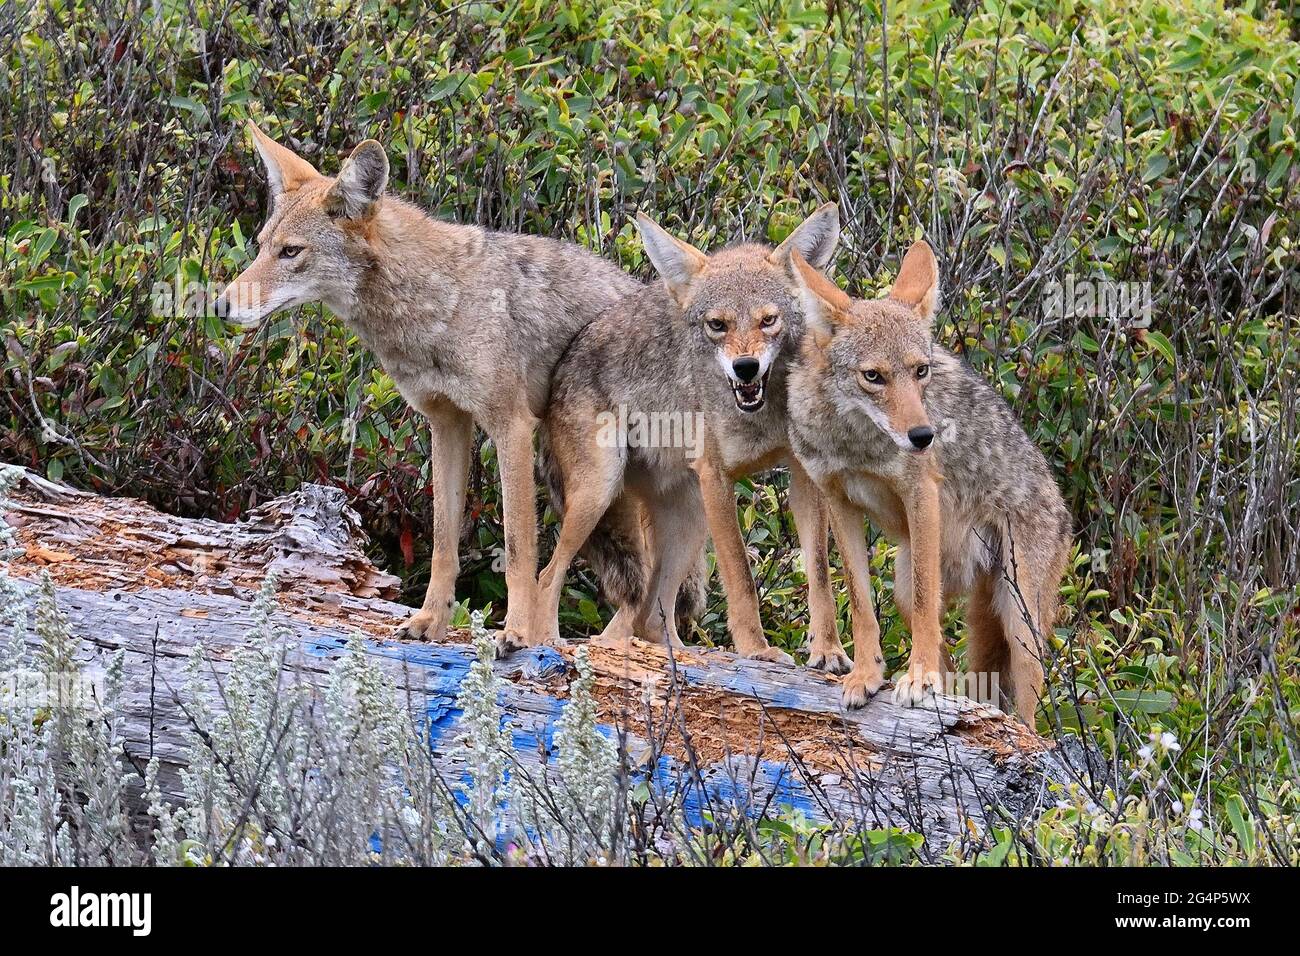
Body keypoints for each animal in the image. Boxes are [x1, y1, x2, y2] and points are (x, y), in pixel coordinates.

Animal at [215, 123, 647, 650]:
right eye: (260, 245)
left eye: (291, 252)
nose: (219, 306)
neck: (437, 302)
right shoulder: (447, 425)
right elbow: (443, 540)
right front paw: (430, 621)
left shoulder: (511, 427)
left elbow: (518, 549)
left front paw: (514, 632)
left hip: (594, 485)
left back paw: (583, 643)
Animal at [532, 206, 851, 672]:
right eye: (717, 325)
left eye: (768, 320)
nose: (745, 367)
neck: (764, 412)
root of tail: (558, 373)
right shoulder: (717, 477)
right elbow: (740, 578)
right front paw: (756, 650)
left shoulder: (804, 475)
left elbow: (821, 574)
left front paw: (829, 652)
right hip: (600, 494)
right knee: (546, 577)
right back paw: (545, 643)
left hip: (688, 520)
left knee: (643, 618)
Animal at [785, 242, 1072, 723]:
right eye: (874, 376)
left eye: (921, 371)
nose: (923, 436)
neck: (855, 442)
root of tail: (1063, 507)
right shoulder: (838, 502)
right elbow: (861, 602)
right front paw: (866, 676)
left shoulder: (920, 494)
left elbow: (924, 603)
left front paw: (918, 679)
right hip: (915, 585)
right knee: (952, 658)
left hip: (1020, 621)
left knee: (1029, 711)